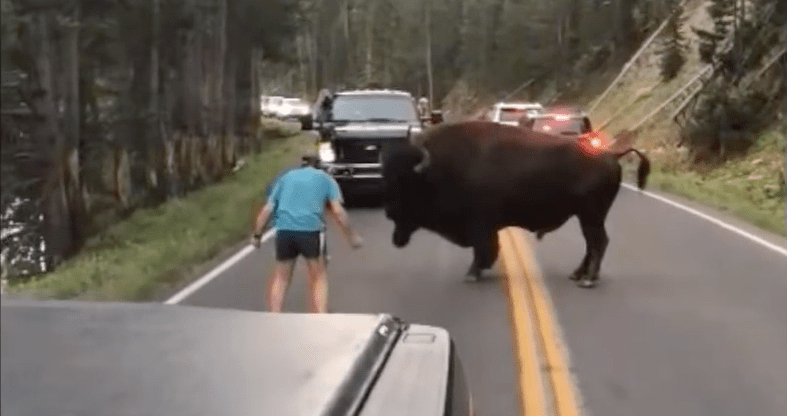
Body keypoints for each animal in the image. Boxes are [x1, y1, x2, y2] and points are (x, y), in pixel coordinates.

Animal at [384, 121, 652, 286]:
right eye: (389, 177)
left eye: (407, 184)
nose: (389, 213)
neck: (438, 169)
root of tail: (611, 154)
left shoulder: (480, 225)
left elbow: (483, 249)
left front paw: (471, 274)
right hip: (587, 216)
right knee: (592, 244)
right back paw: (577, 275)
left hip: (591, 215)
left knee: (598, 243)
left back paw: (588, 280)